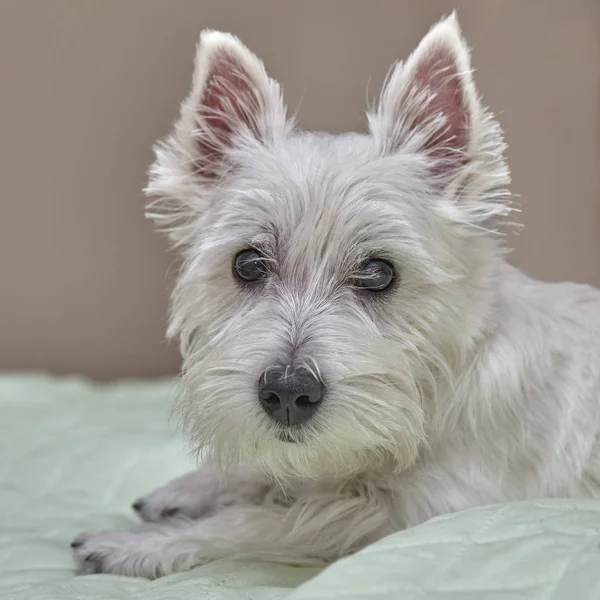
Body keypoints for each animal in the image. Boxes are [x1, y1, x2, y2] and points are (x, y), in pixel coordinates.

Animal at [71, 14, 600, 576]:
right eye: (247, 264)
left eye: (379, 273)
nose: (286, 393)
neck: (440, 384)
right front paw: (190, 487)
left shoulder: (421, 509)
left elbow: (272, 520)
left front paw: (140, 544)